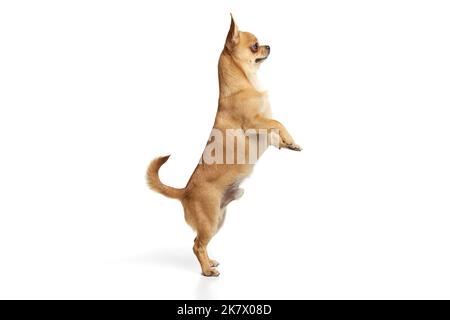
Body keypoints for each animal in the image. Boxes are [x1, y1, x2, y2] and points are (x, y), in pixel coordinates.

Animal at [148, 15, 302, 276]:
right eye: (255, 46)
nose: (268, 46)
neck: (247, 83)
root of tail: (185, 191)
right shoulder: (254, 123)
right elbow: (278, 122)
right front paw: (289, 139)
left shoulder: (262, 130)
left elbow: (274, 133)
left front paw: (288, 144)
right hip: (210, 221)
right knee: (197, 245)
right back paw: (207, 271)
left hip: (219, 218)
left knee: (198, 243)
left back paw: (210, 263)